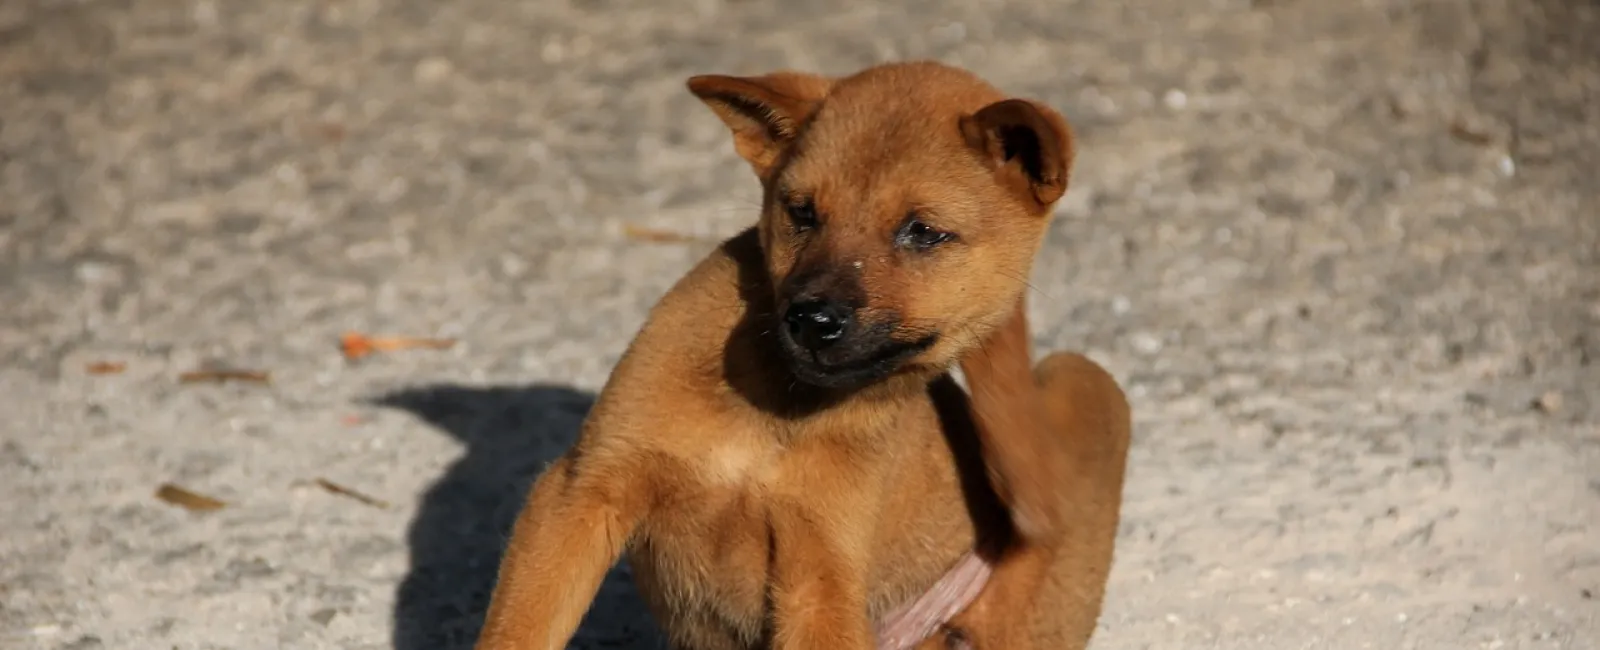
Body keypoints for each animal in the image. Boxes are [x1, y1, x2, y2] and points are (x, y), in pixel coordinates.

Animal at [467, 62, 1132, 650]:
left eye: (922, 232)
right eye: (802, 213)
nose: (813, 320)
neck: (774, 412)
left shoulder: (819, 575)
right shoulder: (580, 491)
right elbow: (519, 629)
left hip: (1080, 383)